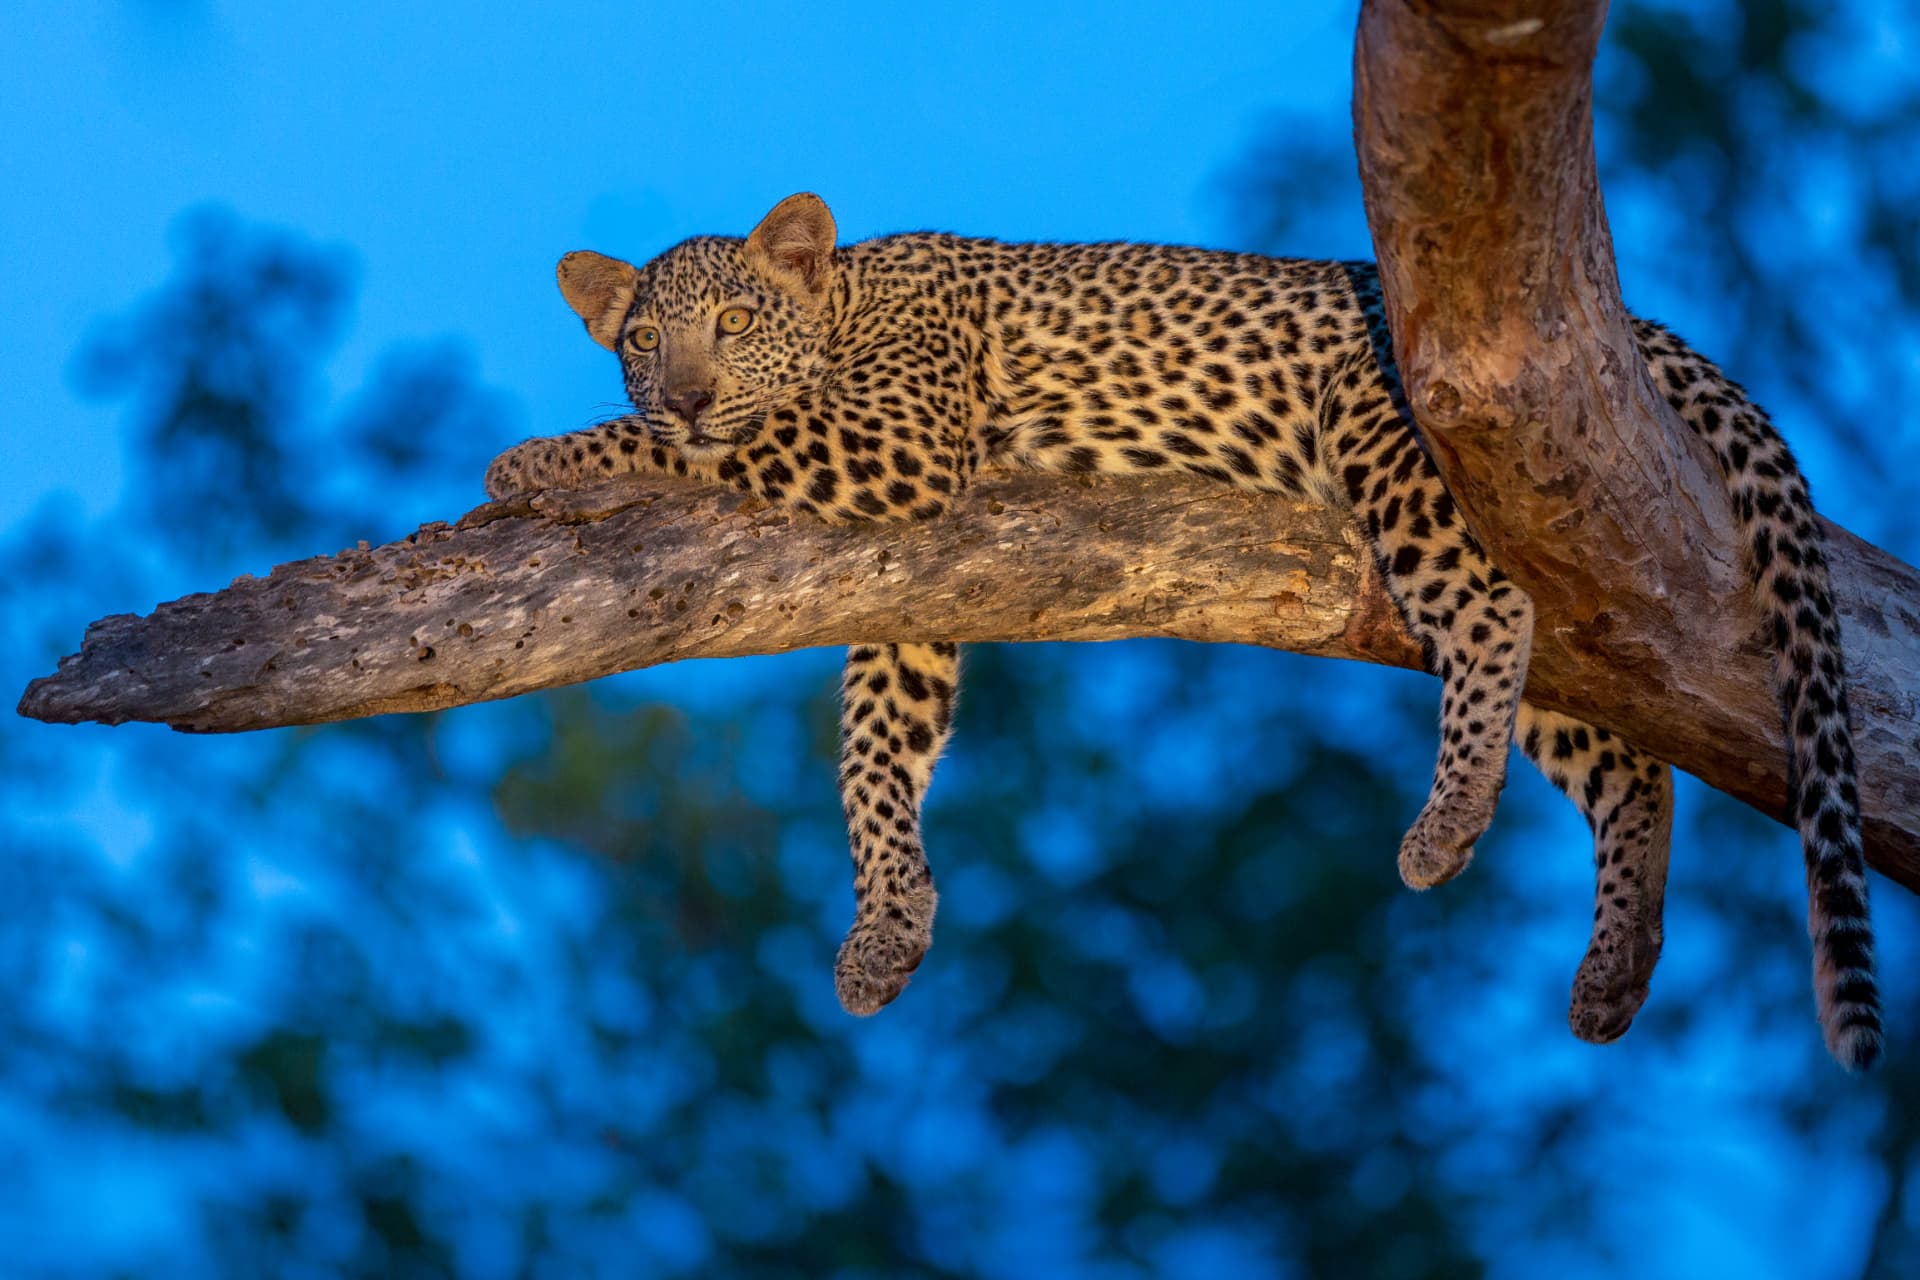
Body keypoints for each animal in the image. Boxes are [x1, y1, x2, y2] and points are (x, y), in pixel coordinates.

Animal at [485, 193, 1878, 1071]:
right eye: (643, 337)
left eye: (734, 324)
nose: (684, 387)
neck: (850, 302)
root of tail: (1630, 326)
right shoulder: (911, 598)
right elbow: (876, 757)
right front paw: (887, 928)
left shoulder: (893, 440)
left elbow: (706, 447)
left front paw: (540, 459)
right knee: (1632, 761)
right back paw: (1617, 964)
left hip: (1393, 440)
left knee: (1491, 615)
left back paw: (1444, 826)